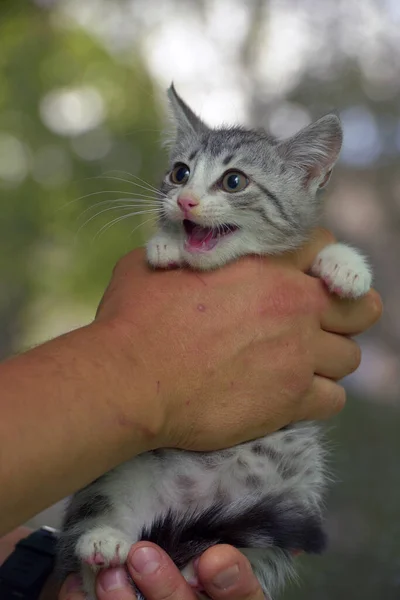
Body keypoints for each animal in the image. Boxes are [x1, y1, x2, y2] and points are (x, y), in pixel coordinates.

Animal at [58, 85, 372, 600]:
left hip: (291, 498)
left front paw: (346, 266)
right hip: (119, 469)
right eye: (180, 173)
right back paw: (104, 541)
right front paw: (164, 244)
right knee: (90, 547)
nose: (185, 202)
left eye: (234, 181)